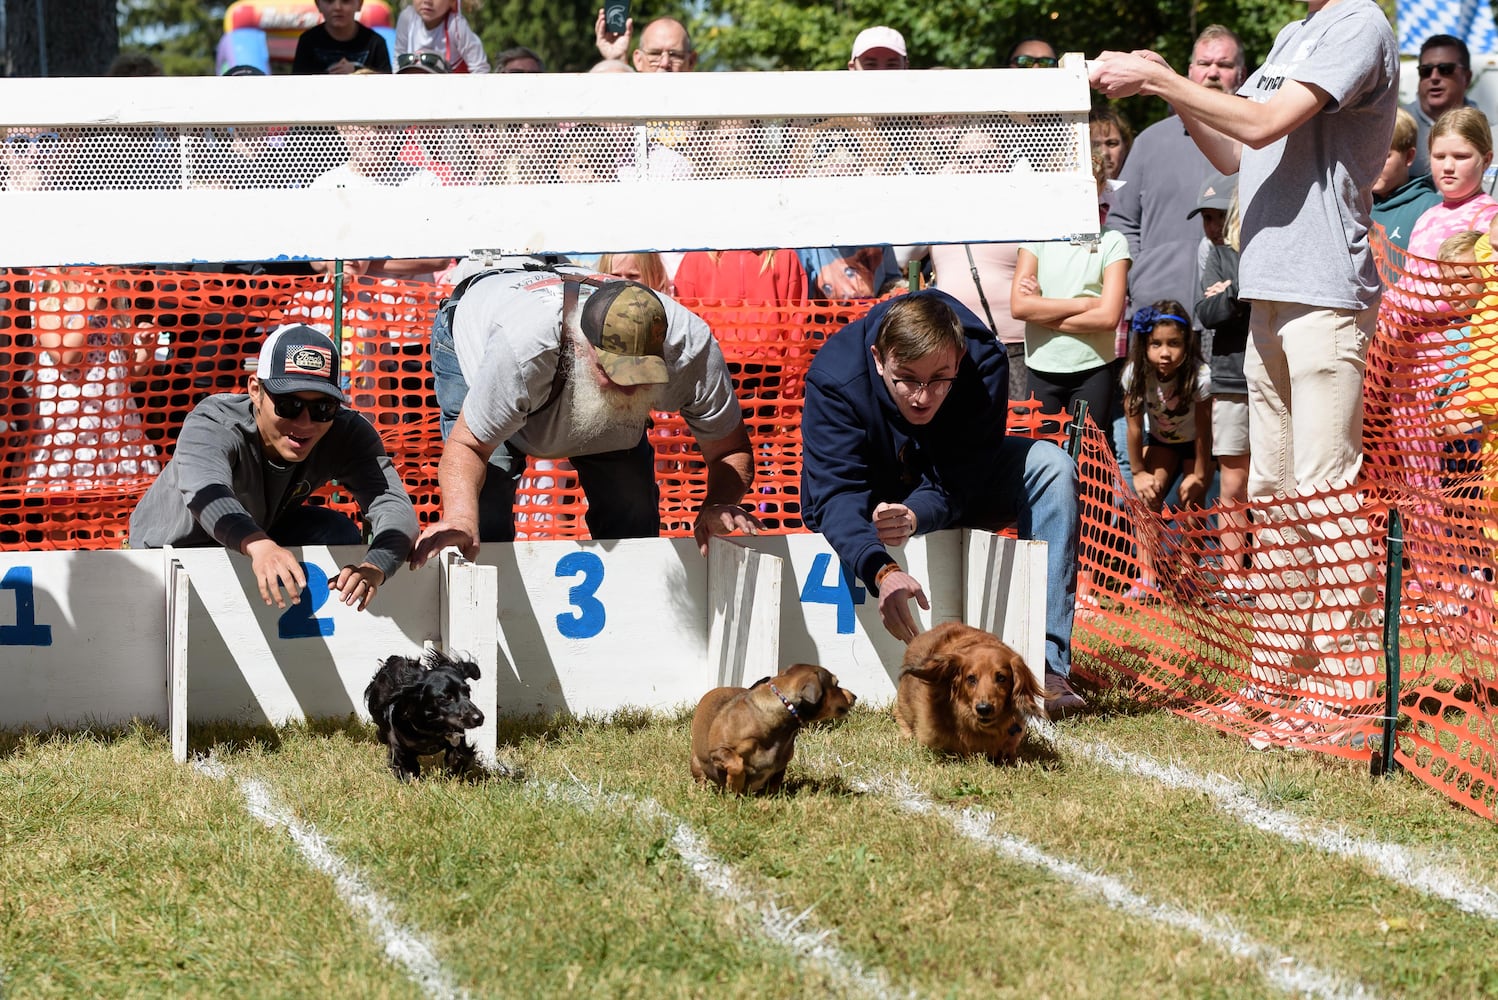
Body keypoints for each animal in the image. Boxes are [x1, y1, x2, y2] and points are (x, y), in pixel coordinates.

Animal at [364, 649, 485, 778]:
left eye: (467, 691)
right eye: (447, 697)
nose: (479, 718)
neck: (430, 727)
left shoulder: (457, 738)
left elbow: (460, 757)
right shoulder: (399, 747)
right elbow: (406, 767)